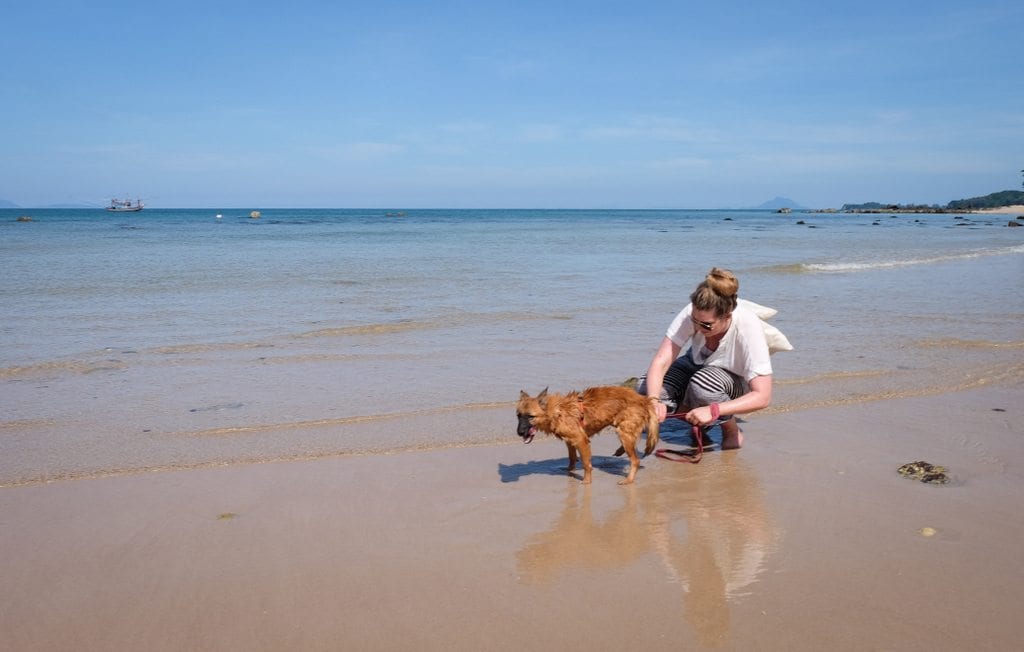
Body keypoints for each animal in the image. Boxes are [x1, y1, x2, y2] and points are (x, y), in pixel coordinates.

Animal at [516, 386, 659, 483]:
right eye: (518, 415)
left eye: (530, 416)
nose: (519, 432)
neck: (557, 411)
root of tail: (644, 400)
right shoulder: (570, 441)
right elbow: (572, 458)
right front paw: (569, 471)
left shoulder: (581, 440)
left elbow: (586, 464)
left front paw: (586, 481)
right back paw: (620, 451)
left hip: (623, 432)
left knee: (635, 460)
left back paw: (628, 480)